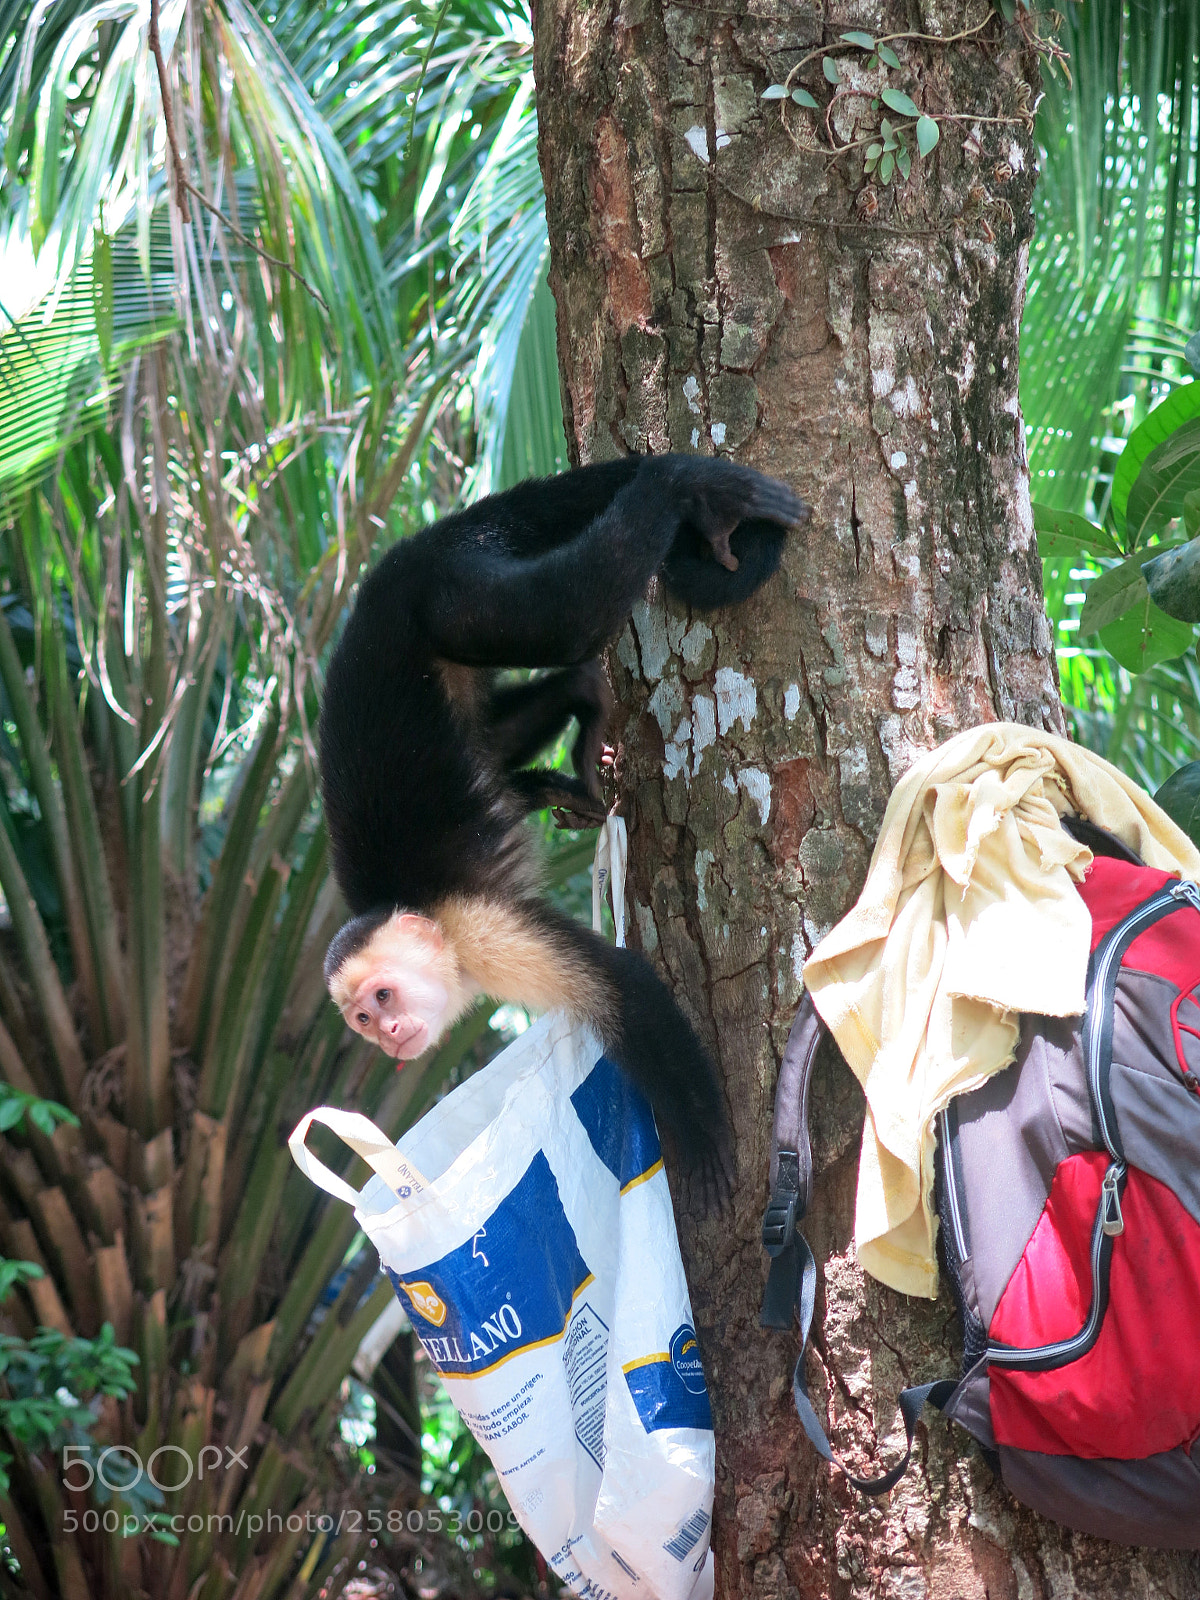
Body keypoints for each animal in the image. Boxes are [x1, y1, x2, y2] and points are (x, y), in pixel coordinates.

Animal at [319, 452, 809, 1209]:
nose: (392, 1036)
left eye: (383, 996)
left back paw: (682, 484)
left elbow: (623, 986)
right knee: (496, 729)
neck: (439, 937)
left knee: (559, 619)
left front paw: (701, 1144)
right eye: (364, 1020)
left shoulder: (481, 932)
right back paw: (571, 732)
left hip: (441, 596)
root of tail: (392, 564)